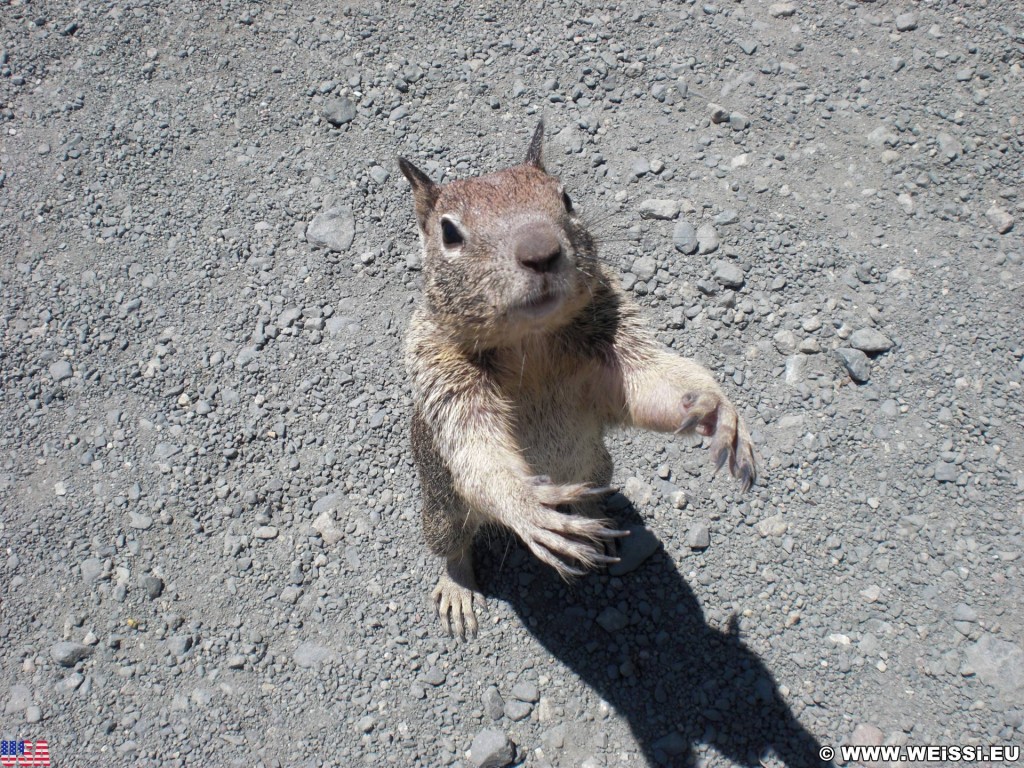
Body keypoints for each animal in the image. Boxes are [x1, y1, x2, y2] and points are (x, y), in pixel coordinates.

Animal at [399, 123, 761, 638]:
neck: (532, 343)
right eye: (449, 232)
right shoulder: (442, 375)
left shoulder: (613, 350)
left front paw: (715, 406)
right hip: (441, 509)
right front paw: (526, 505)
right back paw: (458, 585)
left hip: (597, 467)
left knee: (589, 495)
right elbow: (477, 452)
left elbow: (650, 387)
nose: (540, 252)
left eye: (566, 198)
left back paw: (598, 526)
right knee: (454, 545)